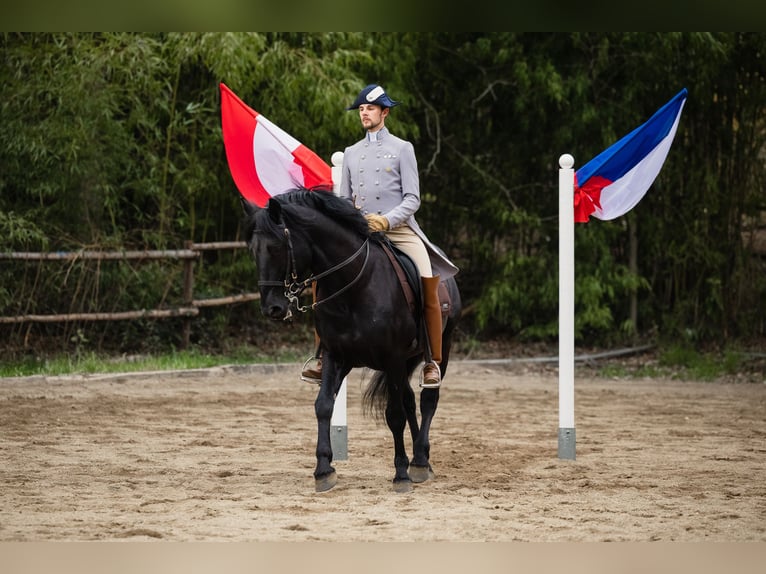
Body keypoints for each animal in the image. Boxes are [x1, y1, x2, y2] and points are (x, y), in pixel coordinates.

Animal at [246, 189, 462, 496]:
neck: (354, 285)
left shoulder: (392, 358)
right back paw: (422, 461)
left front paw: (400, 474)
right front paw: (324, 470)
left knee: (428, 399)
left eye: (277, 248)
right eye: (253, 250)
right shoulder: (337, 356)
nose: (272, 309)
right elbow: (324, 405)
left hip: (443, 345)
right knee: (410, 400)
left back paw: (419, 462)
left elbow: (393, 414)